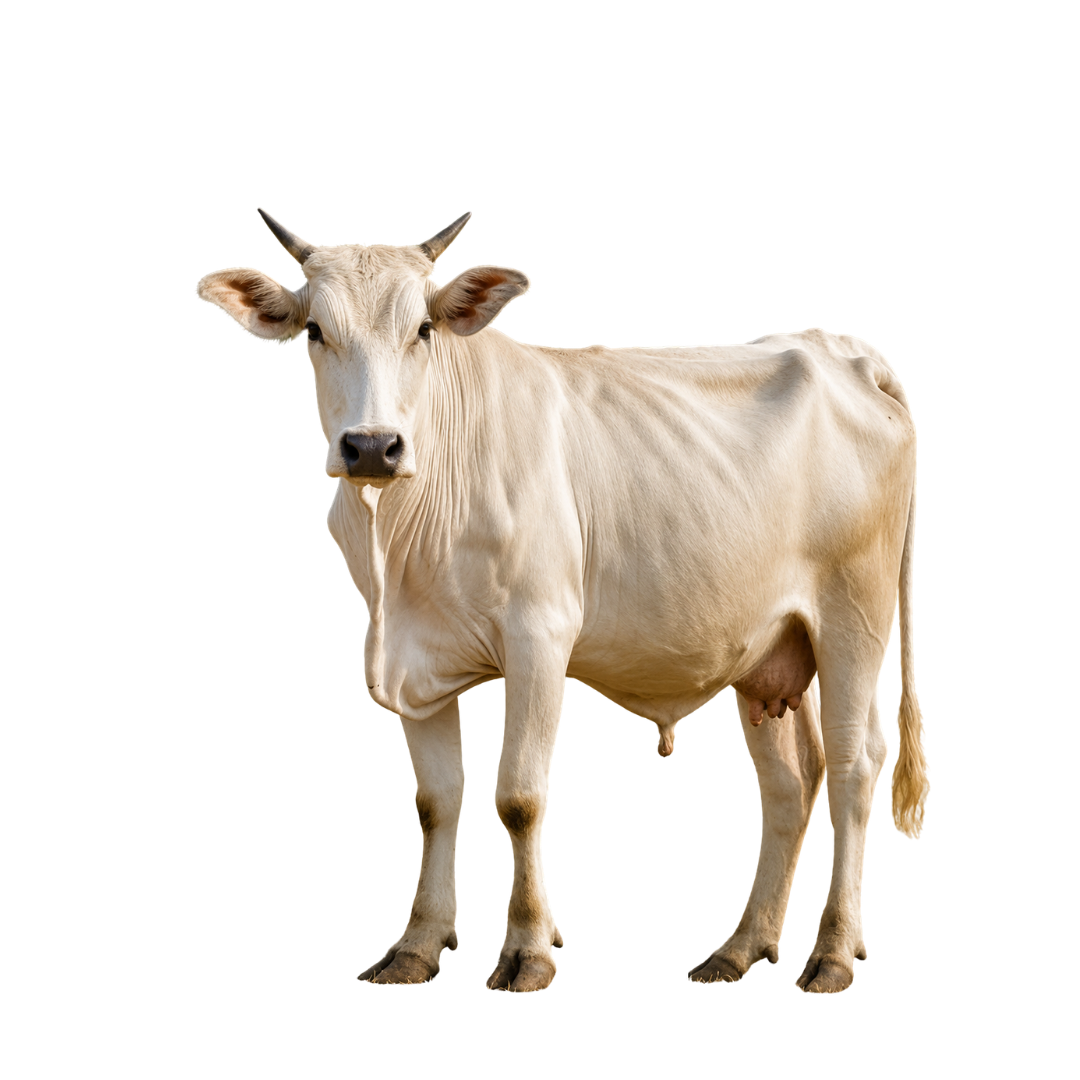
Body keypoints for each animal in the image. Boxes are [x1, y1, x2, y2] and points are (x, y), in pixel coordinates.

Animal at [195, 210, 931, 993]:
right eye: (313, 330)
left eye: (423, 328)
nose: (370, 446)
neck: (404, 535)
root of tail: (839, 349)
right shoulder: (408, 656)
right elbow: (434, 802)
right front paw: (416, 947)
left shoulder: (539, 636)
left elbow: (518, 796)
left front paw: (526, 952)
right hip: (769, 650)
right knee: (793, 784)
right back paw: (738, 950)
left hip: (852, 619)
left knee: (855, 770)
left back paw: (831, 955)